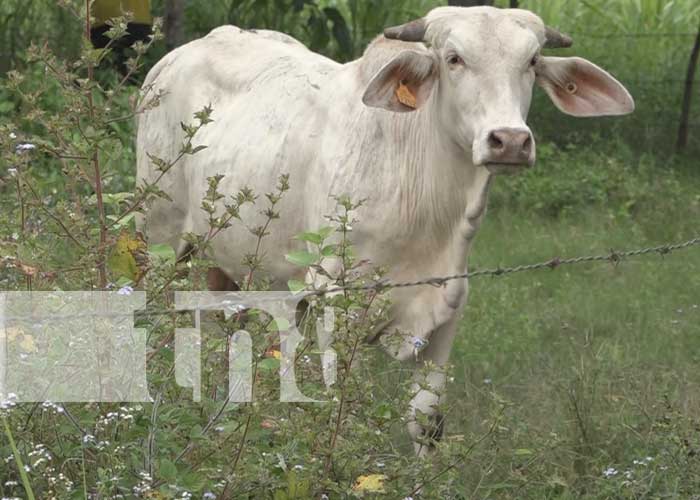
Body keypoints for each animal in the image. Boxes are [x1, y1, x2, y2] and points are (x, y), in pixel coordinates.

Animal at [138, 5, 636, 456]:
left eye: (532, 61)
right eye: (453, 58)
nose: (509, 141)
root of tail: (176, 57)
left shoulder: (448, 305)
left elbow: (426, 420)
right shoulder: (337, 306)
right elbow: (340, 410)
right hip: (161, 240)